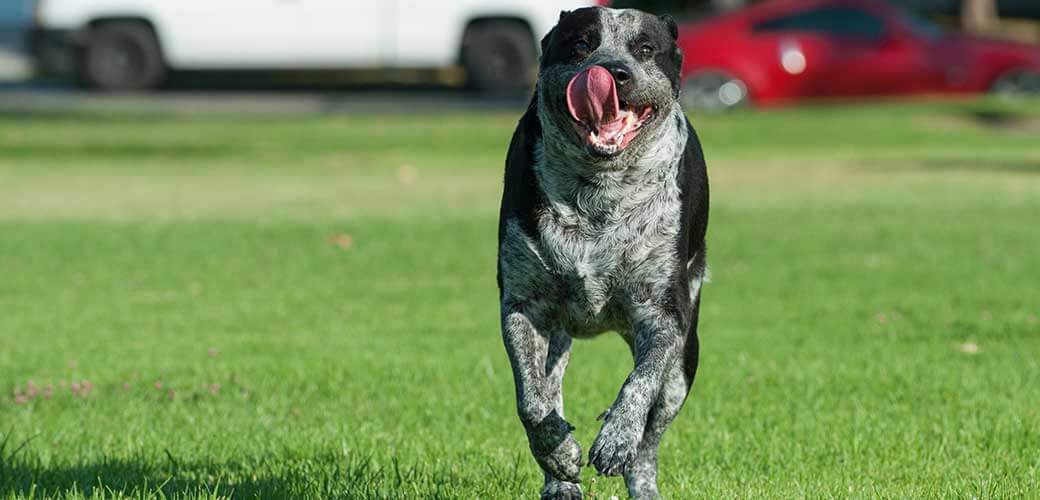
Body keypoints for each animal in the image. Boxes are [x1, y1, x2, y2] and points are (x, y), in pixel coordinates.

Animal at [492, 6, 707, 498]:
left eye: (645, 49)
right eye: (581, 44)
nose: (613, 72)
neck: (599, 190)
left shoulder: (665, 314)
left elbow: (639, 386)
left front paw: (614, 439)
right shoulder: (523, 305)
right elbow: (532, 402)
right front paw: (562, 456)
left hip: (684, 363)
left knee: (652, 433)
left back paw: (641, 480)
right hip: (558, 336)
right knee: (548, 390)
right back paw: (559, 482)